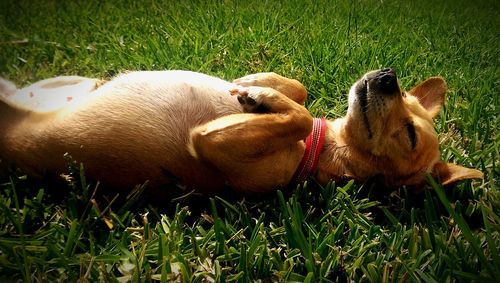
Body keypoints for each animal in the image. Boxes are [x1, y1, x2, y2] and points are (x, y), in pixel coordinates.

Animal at [0, 69, 484, 195]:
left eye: (410, 135)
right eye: (404, 95)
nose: (387, 77)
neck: (320, 149)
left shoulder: (215, 146)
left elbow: (300, 115)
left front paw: (261, 99)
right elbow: (299, 91)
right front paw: (256, 85)